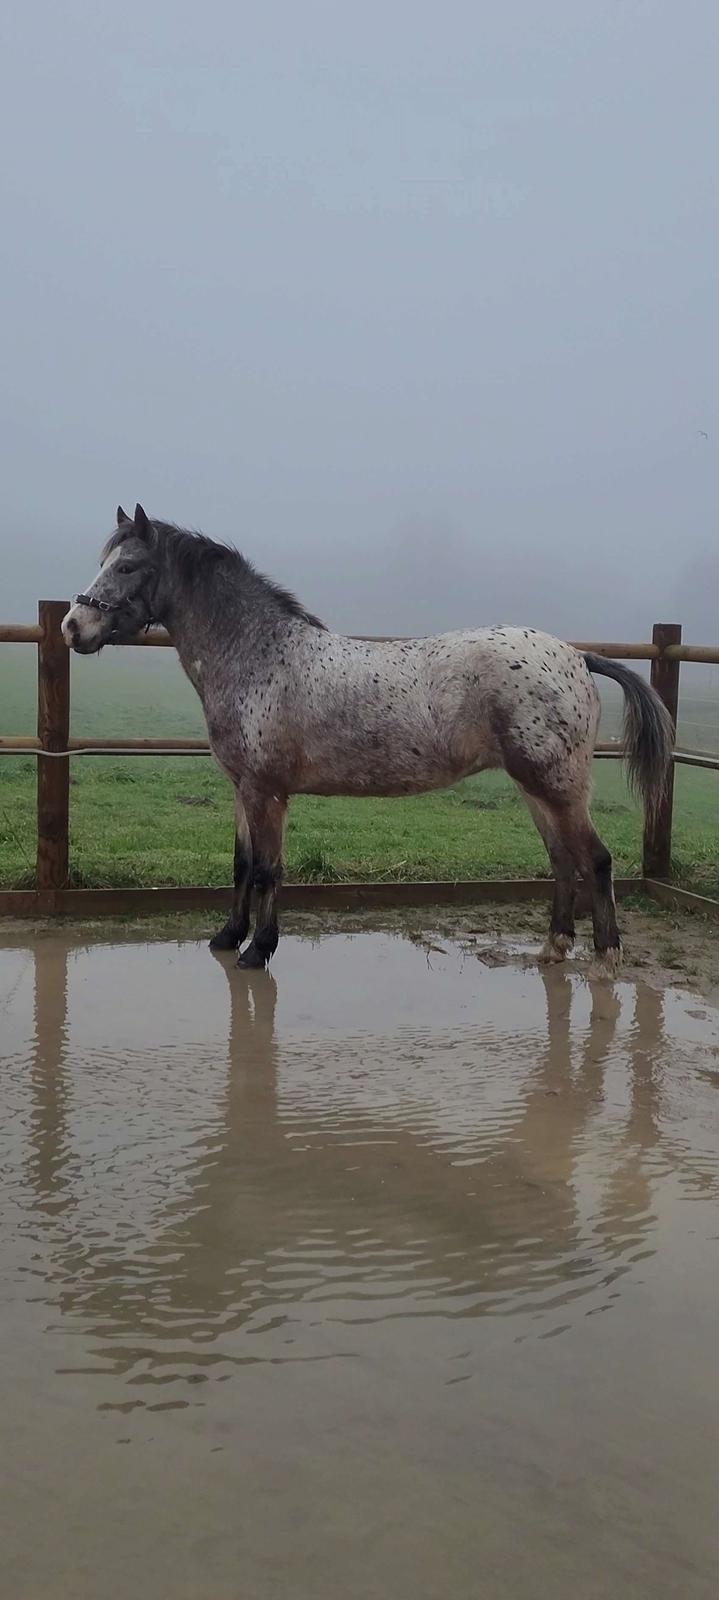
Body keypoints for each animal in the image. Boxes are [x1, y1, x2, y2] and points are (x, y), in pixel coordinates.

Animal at [63, 505, 672, 966]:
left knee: (595, 860)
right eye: (102, 562)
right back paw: (554, 948)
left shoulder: (267, 792)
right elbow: (240, 864)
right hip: (535, 787)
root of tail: (576, 656)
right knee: (563, 860)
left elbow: (266, 870)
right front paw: (227, 937)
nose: (73, 626)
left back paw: (607, 957)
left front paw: (258, 950)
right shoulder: (242, 788)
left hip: (558, 786)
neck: (258, 653)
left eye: (129, 566)